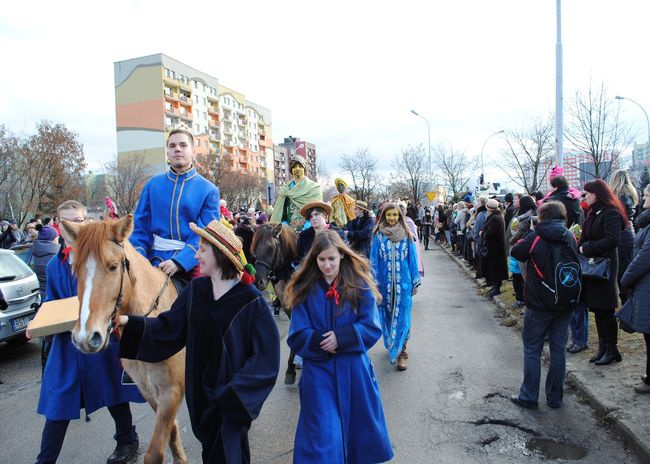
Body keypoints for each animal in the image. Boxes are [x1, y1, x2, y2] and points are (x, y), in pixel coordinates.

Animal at [62, 216, 187, 464]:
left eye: (113, 266)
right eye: (75, 268)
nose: (85, 337)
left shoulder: (172, 390)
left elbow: (155, 453)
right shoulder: (150, 391)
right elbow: (171, 434)